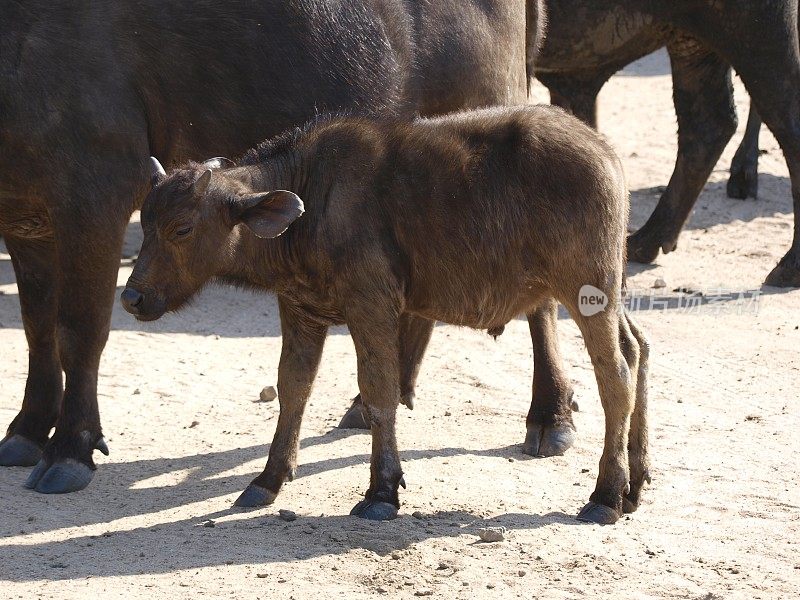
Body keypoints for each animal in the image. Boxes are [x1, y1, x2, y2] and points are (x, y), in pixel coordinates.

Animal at [0, 2, 544, 494]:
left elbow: (77, 331)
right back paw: (371, 403)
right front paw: (27, 430)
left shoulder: (93, 200)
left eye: (182, 231)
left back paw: (548, 417)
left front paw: (69, 449)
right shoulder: (23, 219)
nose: (134, 298)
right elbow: (36, 326)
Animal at [123, 108, 648, 524]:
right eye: (144, 223)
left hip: (587, 289)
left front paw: (381, 491)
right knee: (638, 349)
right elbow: (293, 388)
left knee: (615, 375)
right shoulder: (300, 310)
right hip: (607, 293)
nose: (131, 298)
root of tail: (604, 152)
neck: (314, 199)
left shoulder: (371, 306)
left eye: (182, 228)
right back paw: (635, 484)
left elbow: (379, 392)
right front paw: (268, 479)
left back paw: (605, 496)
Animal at [536, 1, 800, 288]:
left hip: (757, 41)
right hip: (692, 44)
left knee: (784, 123)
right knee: (707, 124)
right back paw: (645, 242)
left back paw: (788, 267)